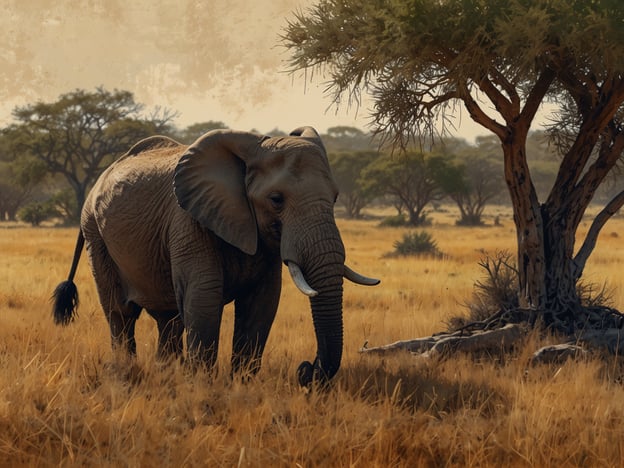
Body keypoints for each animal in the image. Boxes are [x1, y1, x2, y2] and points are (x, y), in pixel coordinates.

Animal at [51, 126, 378, 386]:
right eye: (276, 200)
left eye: (335, 198)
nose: (307, 371)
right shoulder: (188, 220)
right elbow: (203, 297)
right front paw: (202, 386)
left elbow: (261, 303)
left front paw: (241, 384)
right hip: (96, 234)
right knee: (121, 312)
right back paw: (125, 374)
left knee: (169, 318)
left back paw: (165, 373)